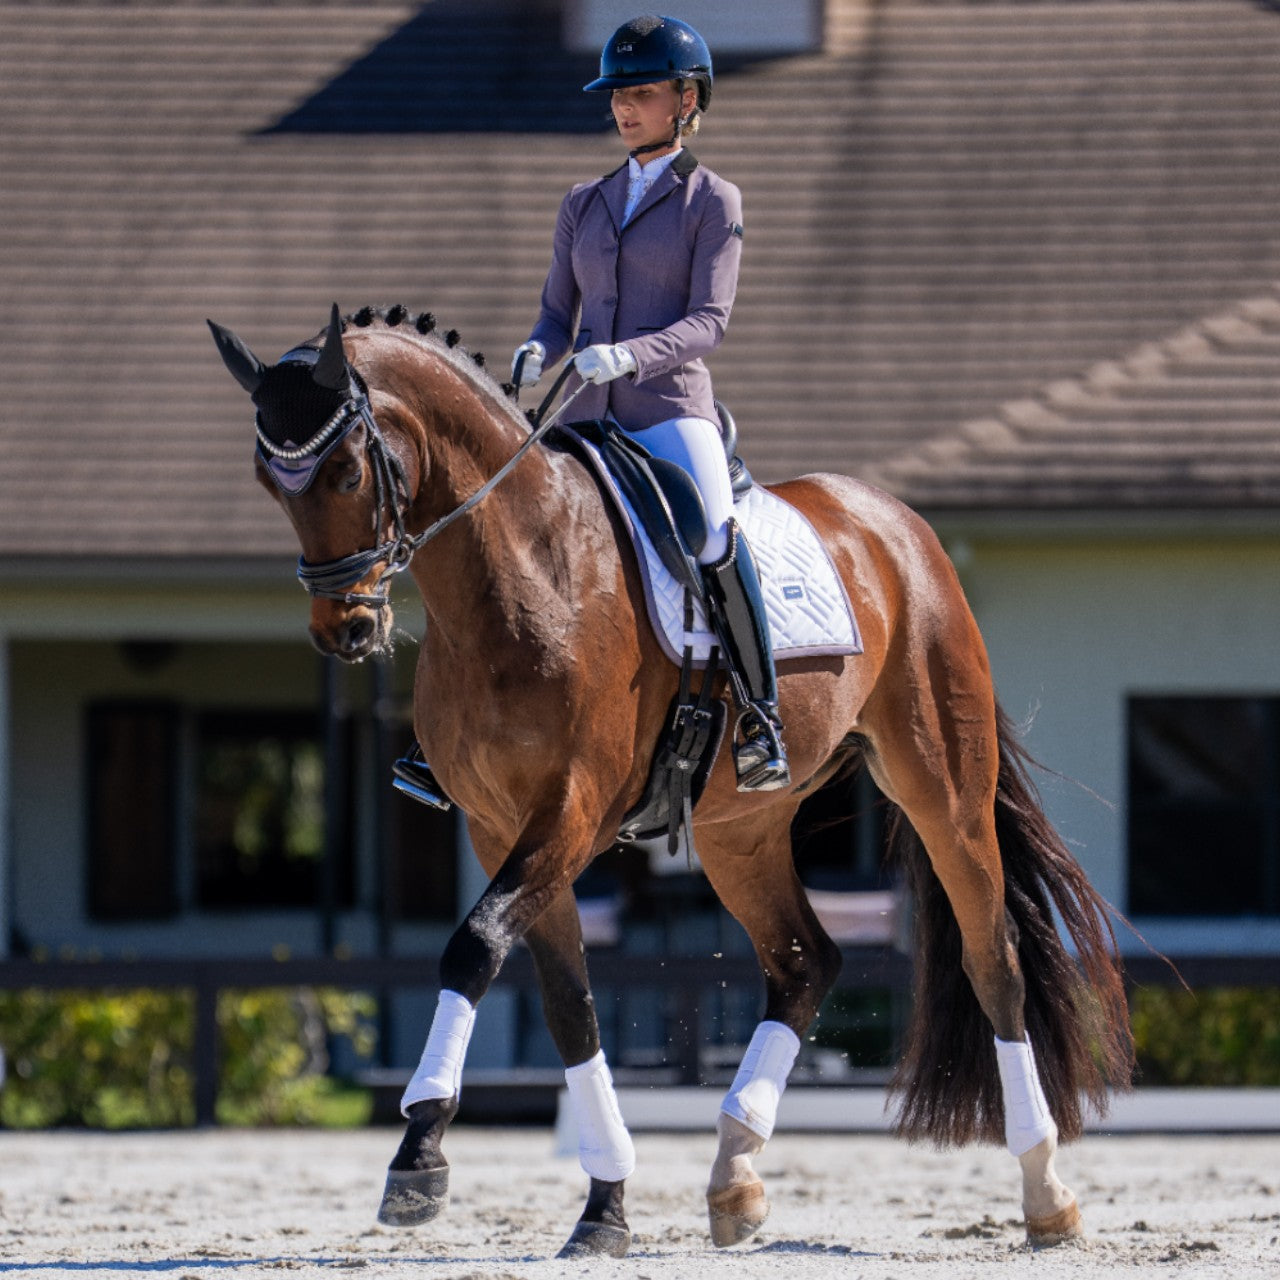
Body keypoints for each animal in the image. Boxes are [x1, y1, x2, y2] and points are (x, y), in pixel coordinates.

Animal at [208, 303, 1133, 1259]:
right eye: (270, 481)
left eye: (348, 469)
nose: (346, 631)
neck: (522, 574)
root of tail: (896, 524)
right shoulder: (499, 827)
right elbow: (568, 1003)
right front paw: (604, 1206)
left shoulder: (571, 812)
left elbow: (473, 947)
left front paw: (419, 1154)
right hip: (740, 830)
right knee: (806, 960)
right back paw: (735, 1175)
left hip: (943, 788)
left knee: (995, 960)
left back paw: (1045, 1192)